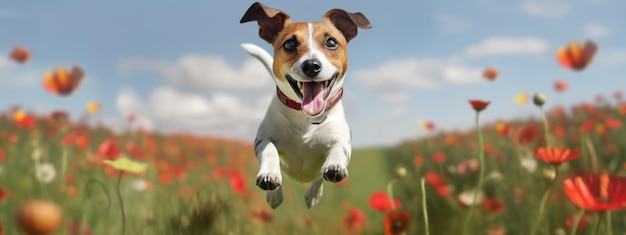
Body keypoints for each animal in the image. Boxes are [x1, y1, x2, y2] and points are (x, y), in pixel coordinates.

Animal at [238, 2, 366, 209]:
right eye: (290, 44)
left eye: (331, 42)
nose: (311, 65)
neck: (306, 117)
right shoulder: (264, 137)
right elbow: (269, 150)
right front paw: (269, 174)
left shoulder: (341, 138)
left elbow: (338, 149)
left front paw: (335, 165)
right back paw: (274, 195)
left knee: (319, 178)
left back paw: (313, 193)